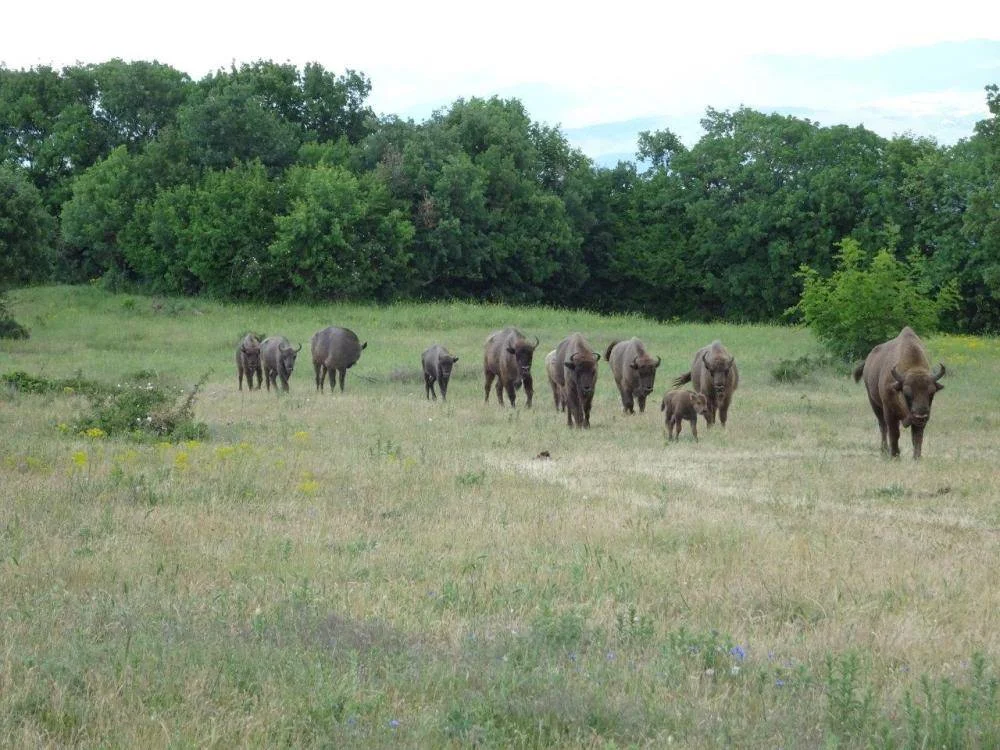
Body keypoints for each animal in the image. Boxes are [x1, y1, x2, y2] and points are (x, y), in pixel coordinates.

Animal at [852, 328, 944, 462]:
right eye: (906, 393)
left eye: (932, 392)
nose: (920, 416)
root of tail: (868, 360)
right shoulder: (890, 412)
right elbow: (894, 433)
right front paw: (895, 456)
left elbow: (917, 436)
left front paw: (917, 457)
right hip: (874, 403)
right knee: (883, 427)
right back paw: (884, 450)